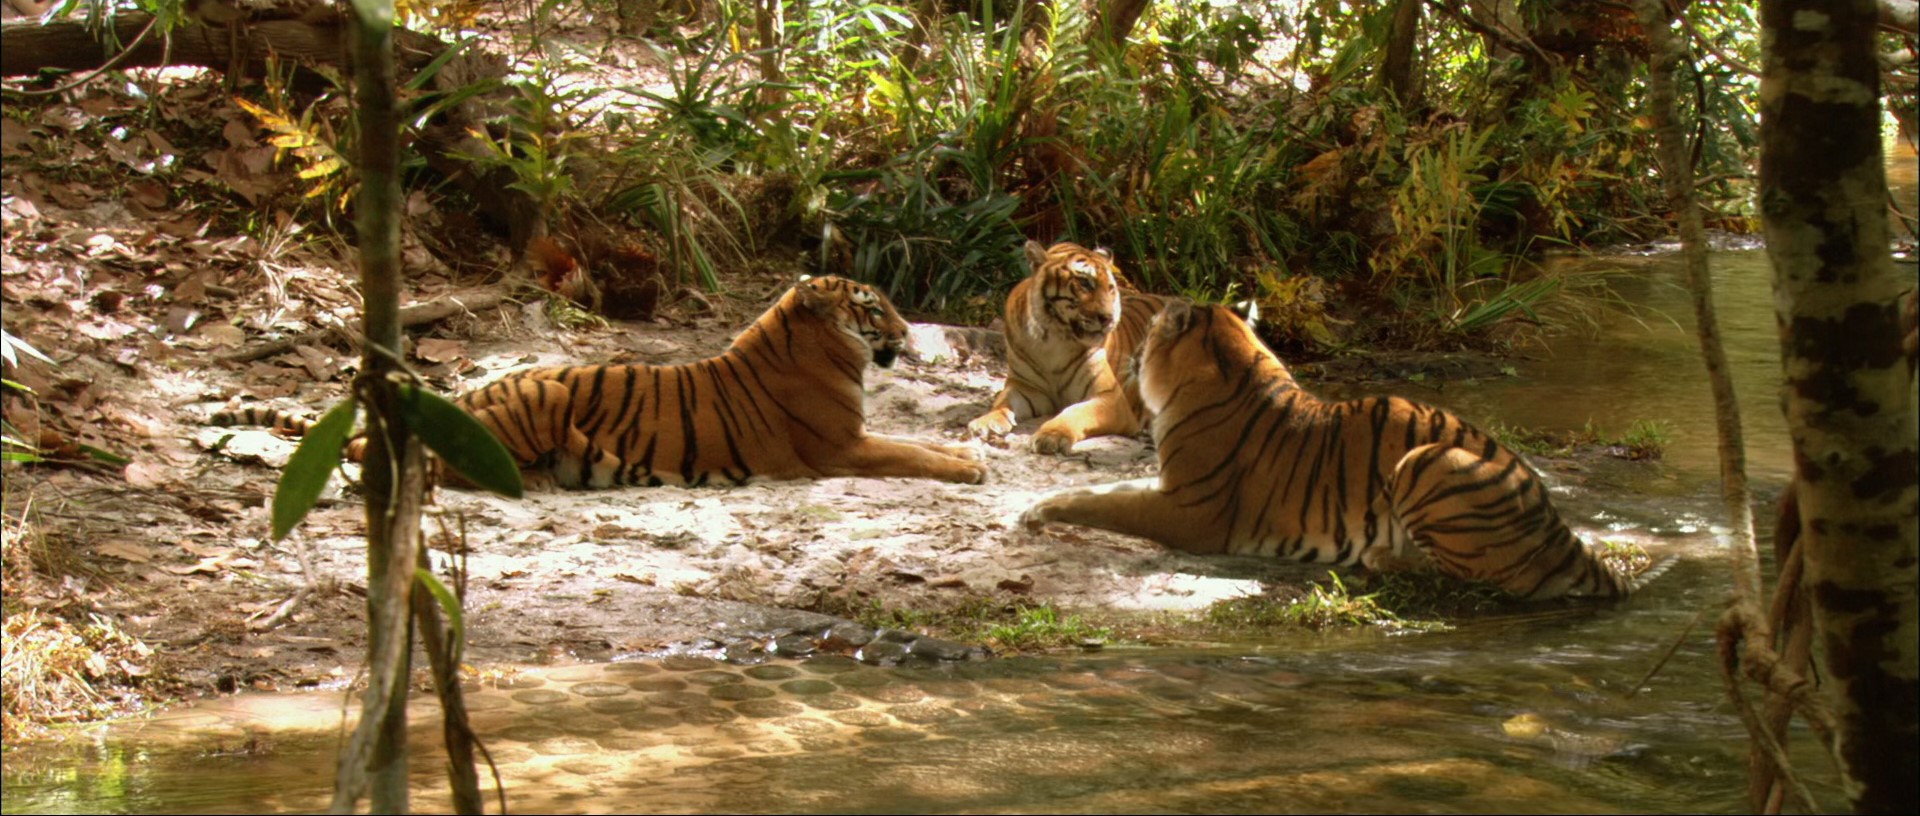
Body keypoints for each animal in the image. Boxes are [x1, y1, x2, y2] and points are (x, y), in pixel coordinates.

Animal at [213, 275, 988, 488]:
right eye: (871, 307)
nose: (907, 331)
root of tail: (460, 394)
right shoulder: (838, 447)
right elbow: (910, 452)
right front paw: (969, 470)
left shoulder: (855, 434)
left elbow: (917, 442)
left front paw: (969, 454)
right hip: (548, 391)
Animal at [966, 240, 1166, 454]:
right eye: (1085, 283)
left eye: (1111, 288)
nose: (1108, 318)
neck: (1053, 338)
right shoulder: (1025, 387)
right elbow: (1002, 401)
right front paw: (985, 422)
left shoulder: (1111, 399)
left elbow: (1075, 412)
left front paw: (1051, 435)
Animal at [1020, 298, 1636, 600]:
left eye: (1147, 334)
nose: (1126, 355)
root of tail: (1559, 527)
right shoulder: (1169, 485)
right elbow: (1106, 487)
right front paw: (1035, 504)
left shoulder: (1189, 511)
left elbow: (1109, 504)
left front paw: (1038, 511)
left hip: (1427, 462)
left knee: (1479, 579)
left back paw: (1382, 556)